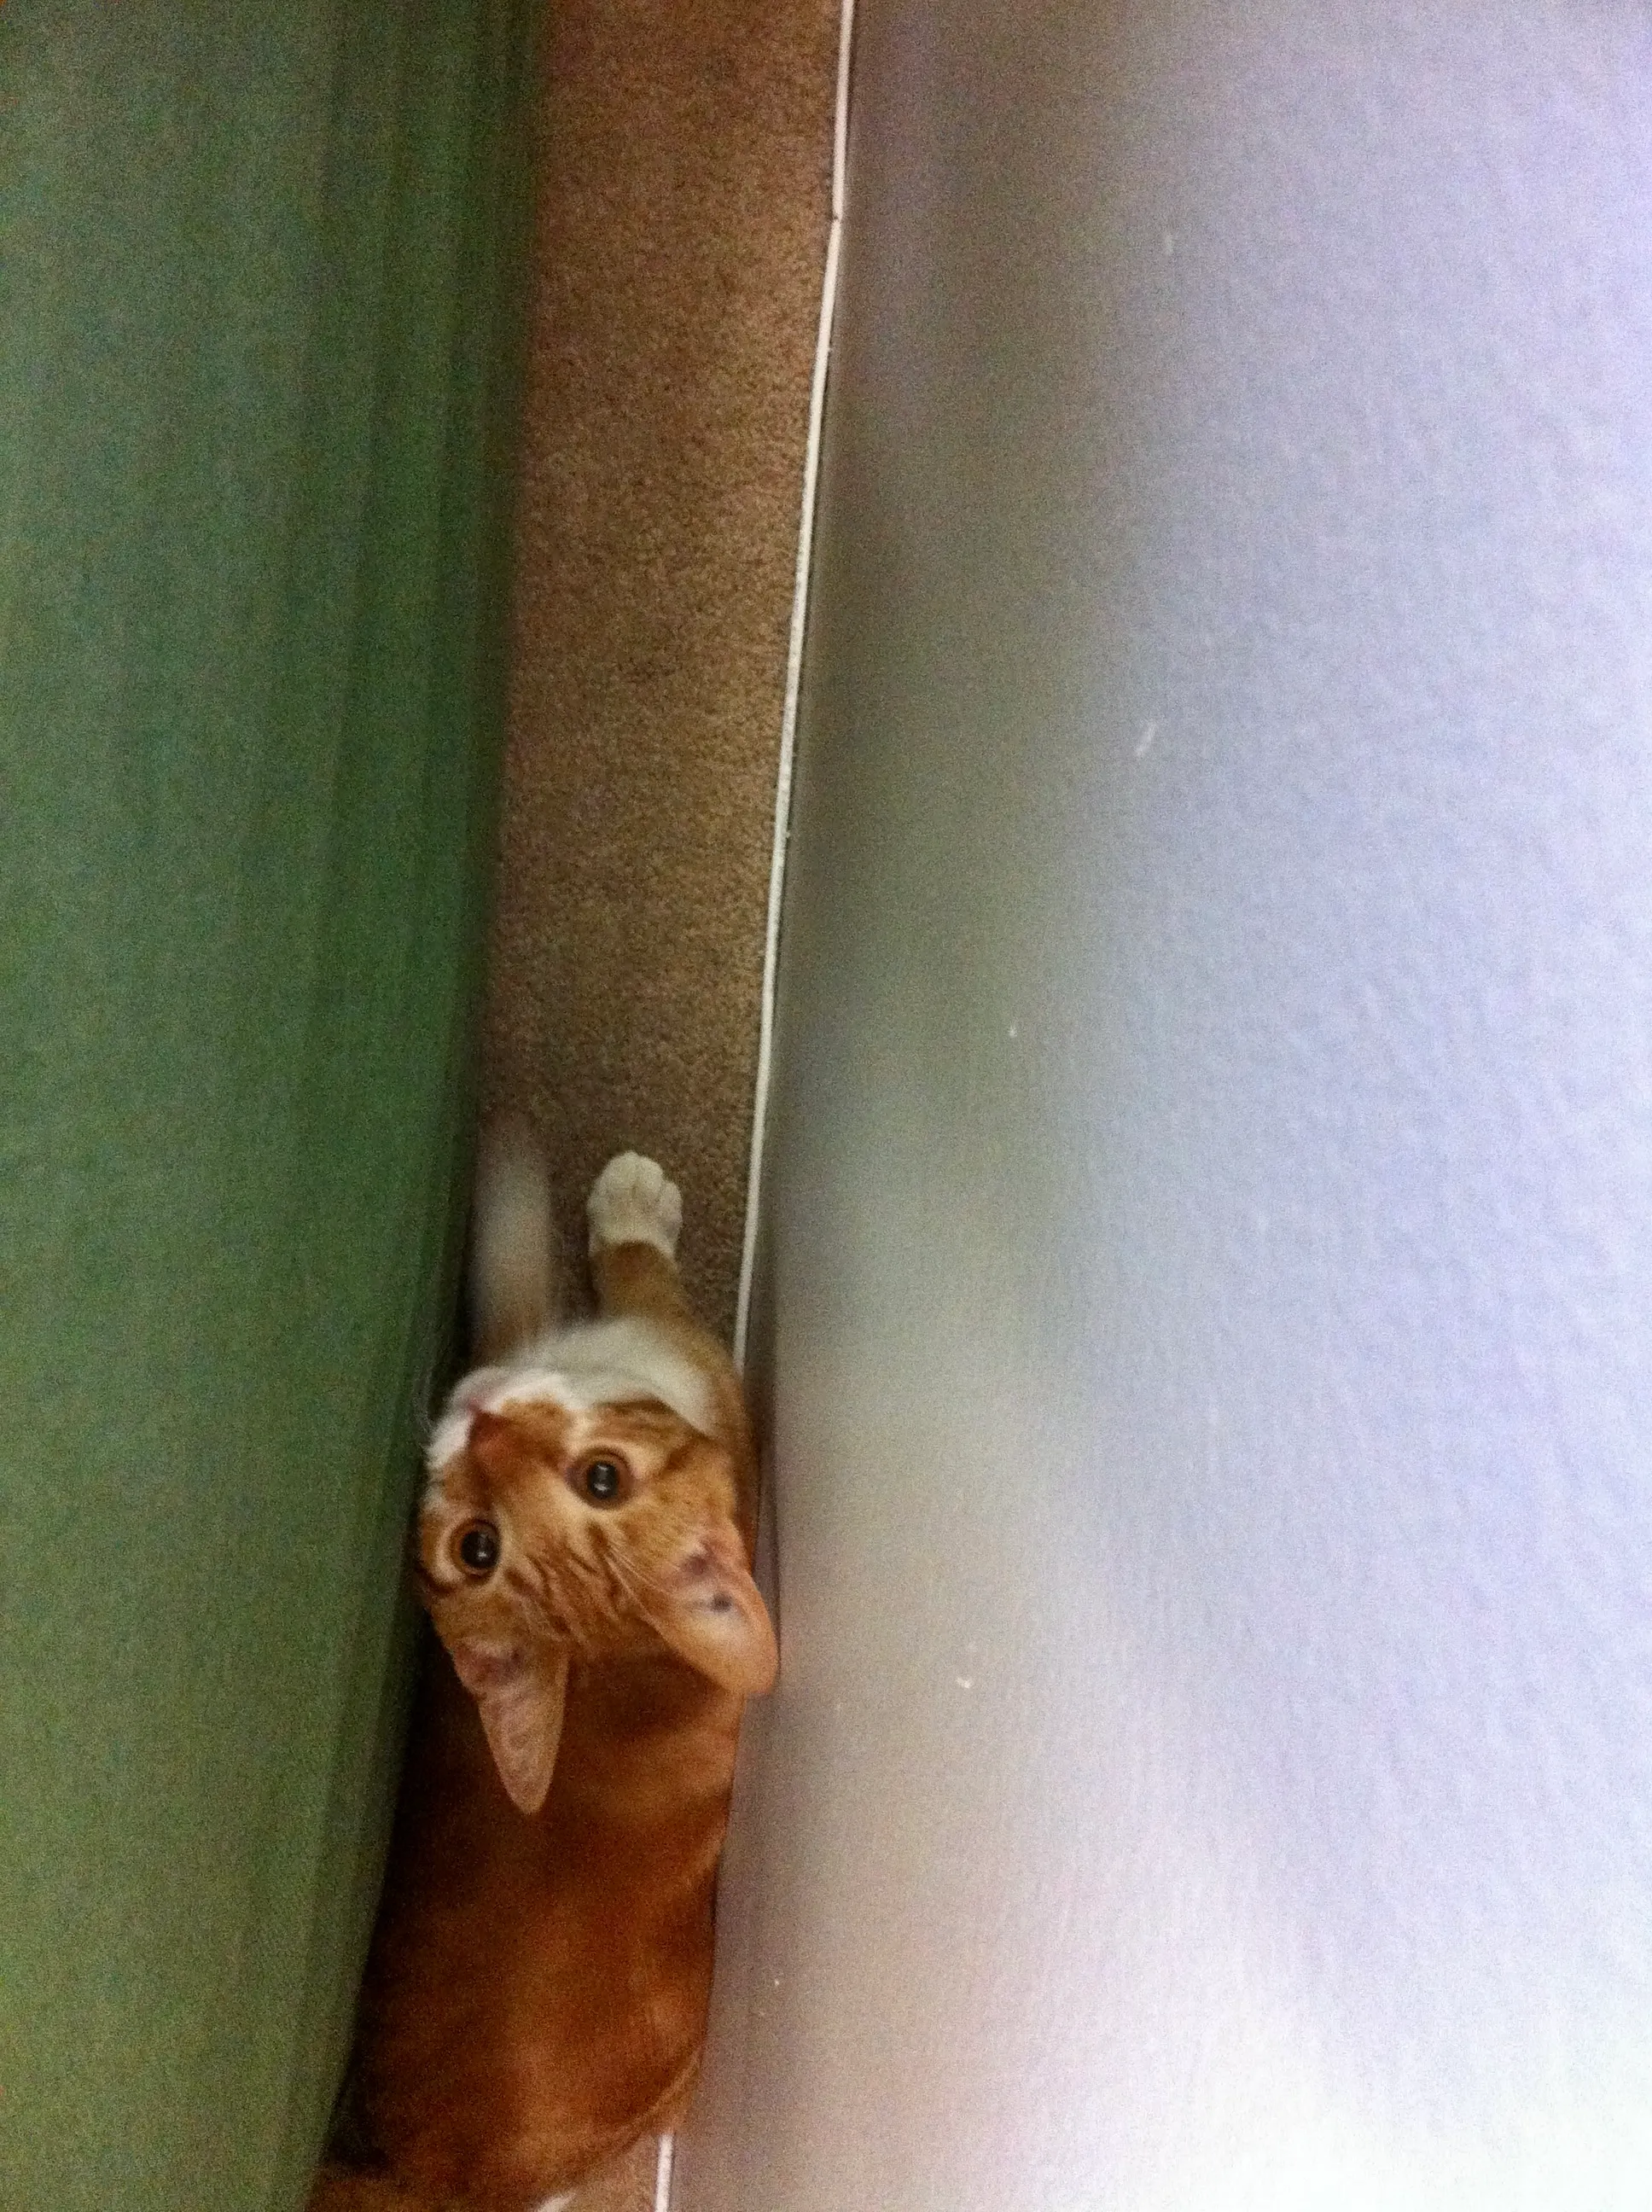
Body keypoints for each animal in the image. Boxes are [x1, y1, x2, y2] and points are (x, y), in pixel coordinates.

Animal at [316, 1141, 782, 2212]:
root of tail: (427, 2180)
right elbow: (602, 1269)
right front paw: (622, 1207)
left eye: (601, 1480)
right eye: (478, 1547)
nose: (485, 1423)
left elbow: (527, 1260)